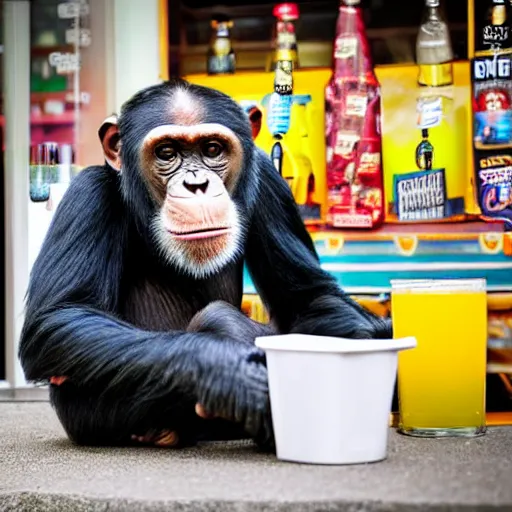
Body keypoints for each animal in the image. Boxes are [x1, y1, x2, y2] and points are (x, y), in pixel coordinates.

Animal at [18, 78, 390, 450]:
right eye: (167, 153)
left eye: (212, 150)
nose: (196, 184)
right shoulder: (86, 194)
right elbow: (63, 315)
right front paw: (229, 371)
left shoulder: (270, 180)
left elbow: (305, 296)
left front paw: (361, 353)